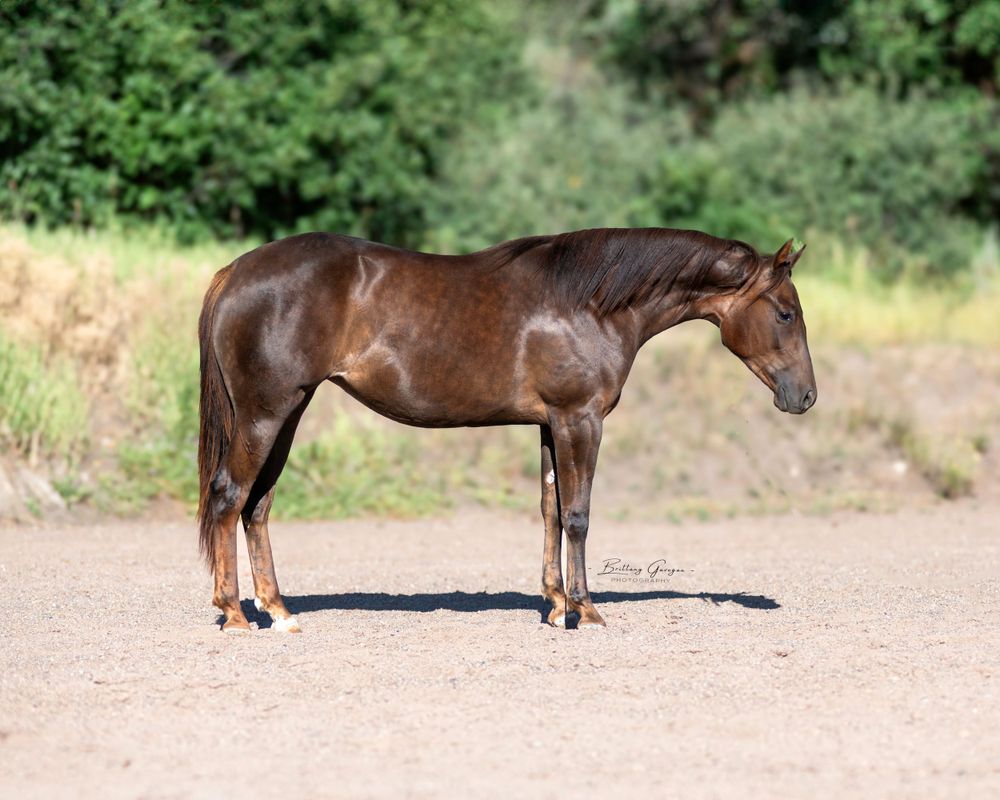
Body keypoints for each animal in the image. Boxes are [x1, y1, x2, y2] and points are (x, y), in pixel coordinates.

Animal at [197, 227, 816, 633]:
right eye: (786, 313)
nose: (805, 396)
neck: (592, 303)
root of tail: (235, 272)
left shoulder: (550, 423)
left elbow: (550, 510)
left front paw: (556, 604)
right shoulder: (579, 419)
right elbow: (578, 514)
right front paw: (586, 610)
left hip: (289, 412)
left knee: (257, 506)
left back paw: (278, 611)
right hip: (266, 413)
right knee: (229, 496)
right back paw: (234, 614)